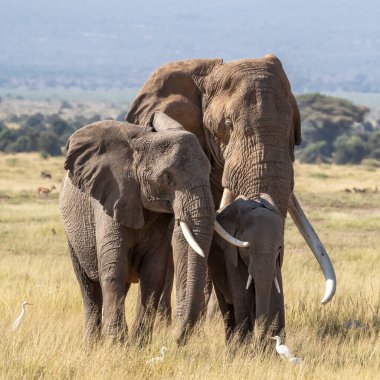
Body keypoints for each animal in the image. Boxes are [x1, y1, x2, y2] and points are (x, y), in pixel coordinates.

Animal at [59, 112, 243, 344]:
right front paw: (116, 343)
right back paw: (92, 344)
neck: (144, 141)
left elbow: (154, 273)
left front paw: (138, 344)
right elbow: (114, 268)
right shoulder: (112, 195)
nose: (175, 341)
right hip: (72, 234)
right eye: (167, 177)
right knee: (89, 287)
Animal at [208, 197, 284, 342]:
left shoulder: (275, 264)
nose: (261, 338)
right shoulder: (232, 255)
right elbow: (243, 300)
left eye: (279, 248)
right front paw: (245, 347)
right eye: (247, 248)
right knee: (227, 309)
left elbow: (276, 302)